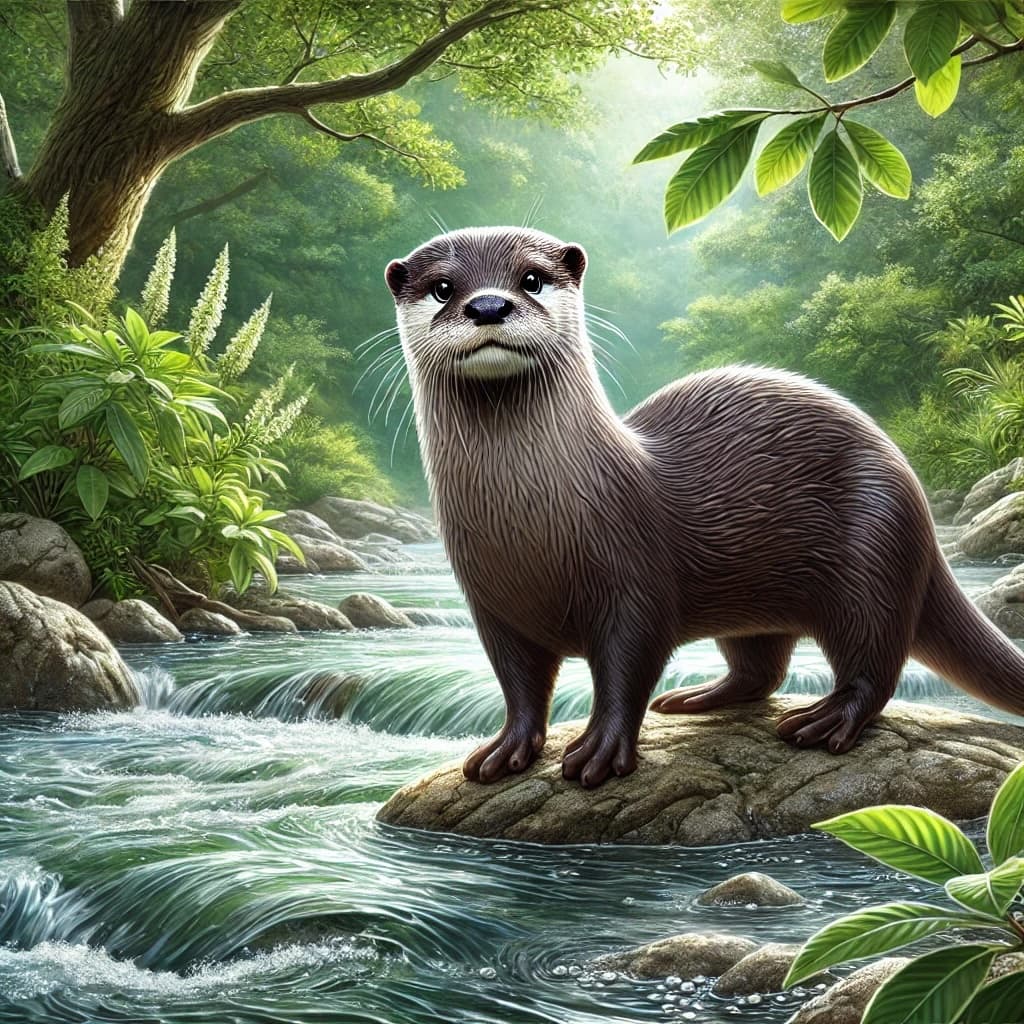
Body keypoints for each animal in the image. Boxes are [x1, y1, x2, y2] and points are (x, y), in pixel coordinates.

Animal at [384, 226, 1024, 789]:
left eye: (532, 279)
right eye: (443, 287)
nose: (489, 305)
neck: (528, 525)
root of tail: (917, 498)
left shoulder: (635, 580)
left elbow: (626, 672)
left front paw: (600, 752)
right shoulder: (492, 605)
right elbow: (517, 685)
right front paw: (505, 748)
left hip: (875, 548)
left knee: (874, 660)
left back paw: (824, 719)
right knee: (762, 670)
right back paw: (698, 697)